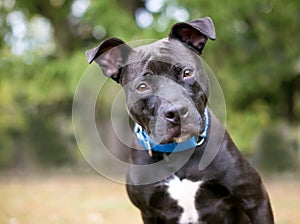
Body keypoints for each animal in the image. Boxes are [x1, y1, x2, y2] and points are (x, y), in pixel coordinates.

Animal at [85, 16, 274, 223]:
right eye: (142, 86)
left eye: (187, 72)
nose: (176, 111)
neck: (177, 151)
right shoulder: (149, 213)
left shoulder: (255, 199)